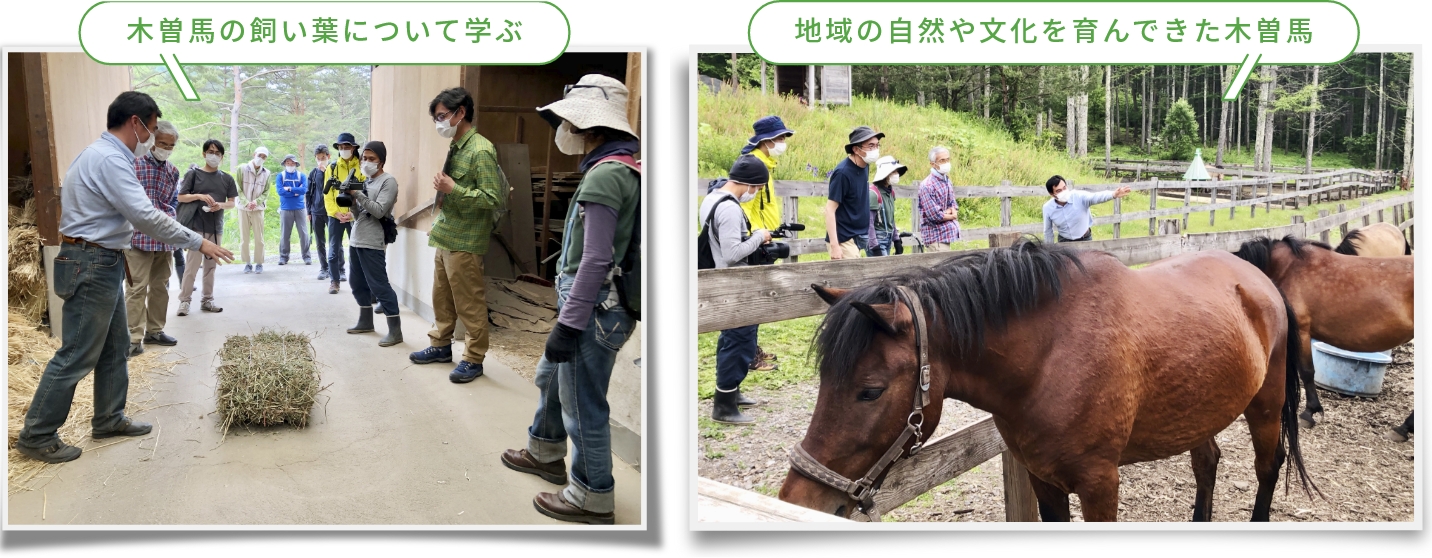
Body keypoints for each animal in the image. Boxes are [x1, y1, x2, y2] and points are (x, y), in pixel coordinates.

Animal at [779, 240, 1311, 523]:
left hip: (1265, 407)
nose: (796, 500)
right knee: (1207, 463)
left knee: (1268, 467)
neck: (1049, 357)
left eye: (870, 390)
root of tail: (1256, 278)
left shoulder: (1100, 484)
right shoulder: (1043, 479)